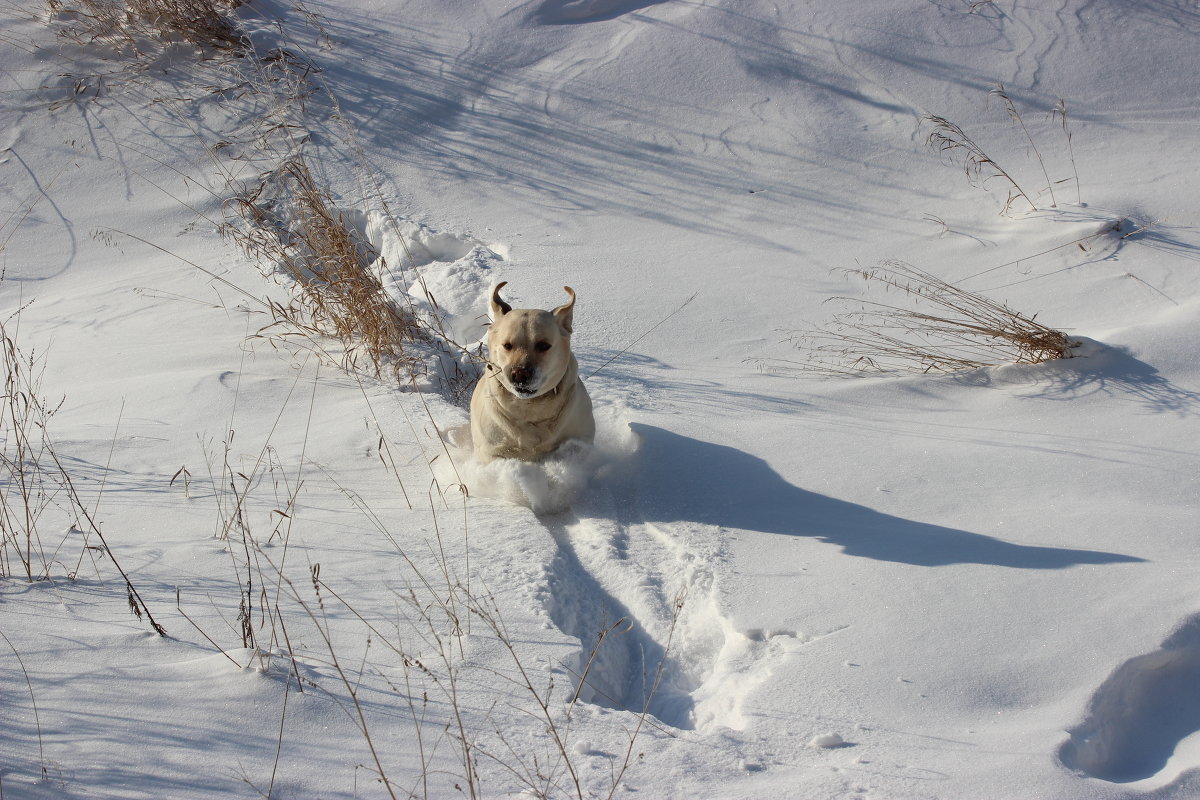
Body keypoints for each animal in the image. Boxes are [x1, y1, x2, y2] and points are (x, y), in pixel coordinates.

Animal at [470, 283, 597, 462]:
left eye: (543, 345)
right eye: (507, 345)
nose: (519, 374)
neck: (529, 407)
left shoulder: (581, 438)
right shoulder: (491, 451)